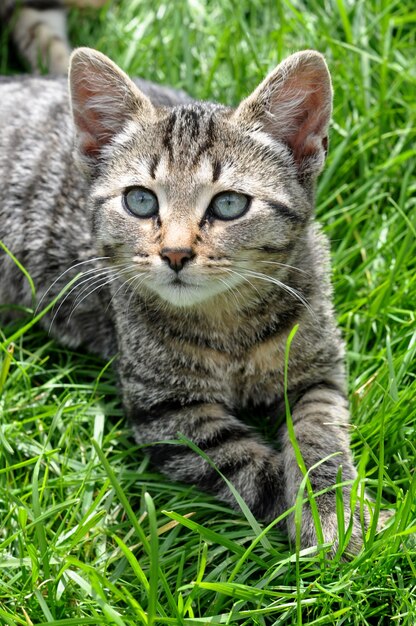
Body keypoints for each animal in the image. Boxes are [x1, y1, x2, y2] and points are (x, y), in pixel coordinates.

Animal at [0, 45, 370, 552]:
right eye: (139, 201)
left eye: (229, 204)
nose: (175, 253)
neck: (229, 321)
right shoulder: (168, 411)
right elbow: (247, 467)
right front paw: (315, 516)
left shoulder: (319, 372)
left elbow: (320, 437)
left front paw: (333, 509)